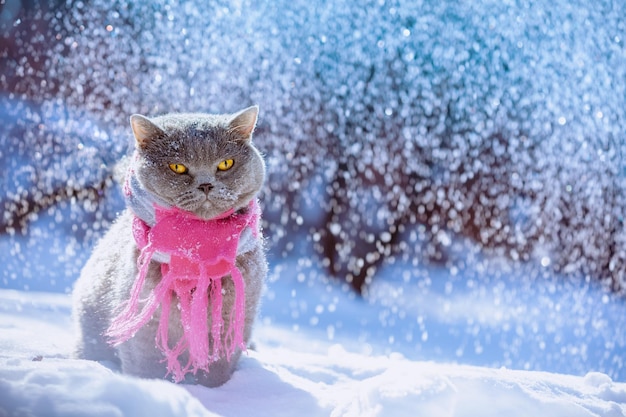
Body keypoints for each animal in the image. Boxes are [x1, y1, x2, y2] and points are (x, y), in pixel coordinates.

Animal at [72, 105, 266, 386]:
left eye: (225, 164)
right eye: (177, 167)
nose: (206, 184)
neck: (196, 249)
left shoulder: (233, 318)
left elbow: (217, 367)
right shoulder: (144, 324)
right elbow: (147, 365)